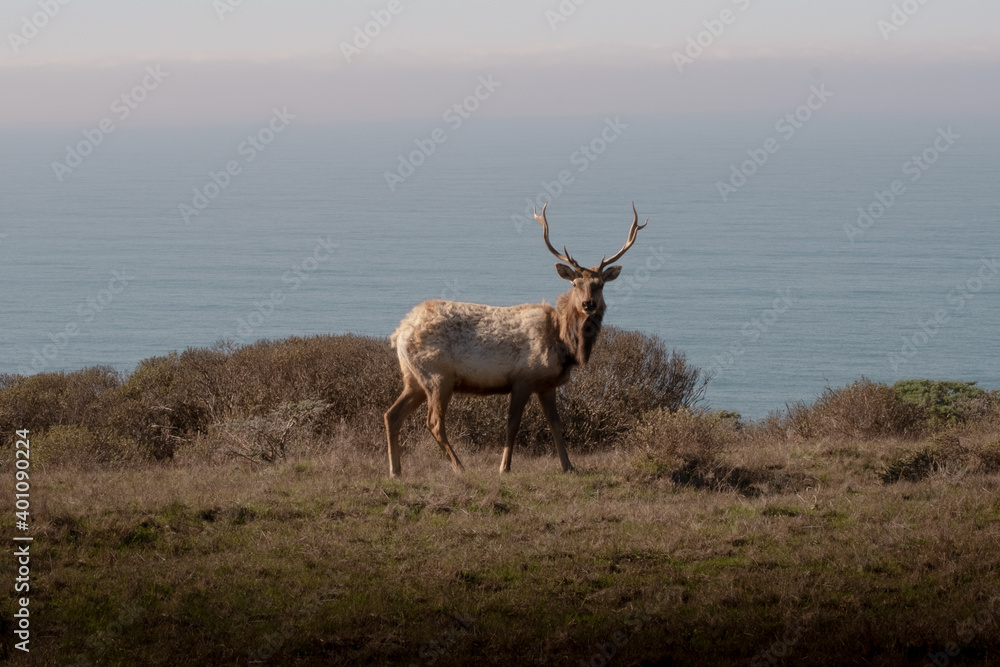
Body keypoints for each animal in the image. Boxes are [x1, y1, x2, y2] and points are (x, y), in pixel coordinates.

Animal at [384, 203, 648, 477]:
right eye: (575, 283)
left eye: (600, 284)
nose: (588, 304)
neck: (563, 342)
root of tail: (399, 333)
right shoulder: (523, 377)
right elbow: (512, 424)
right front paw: (505, 467)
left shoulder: (547, 385)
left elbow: (556, 424)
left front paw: (568, 466)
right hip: (438, 376)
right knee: (434, 422)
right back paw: (459, 466)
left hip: (414, 378)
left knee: (391, 415)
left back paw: (395, 470)